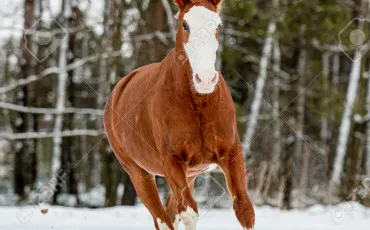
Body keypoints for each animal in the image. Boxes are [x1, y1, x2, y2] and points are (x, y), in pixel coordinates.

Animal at [104, 0, 254, 230]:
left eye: (218, 24)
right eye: (185, 25)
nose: (205, 79)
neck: (199, 102)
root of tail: (118, 90)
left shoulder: (231, 154)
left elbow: (245, 210)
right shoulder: (172, 161)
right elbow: (189, 213)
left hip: (190, 174)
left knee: (171, 212)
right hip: (139, 174)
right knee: (163, 219)